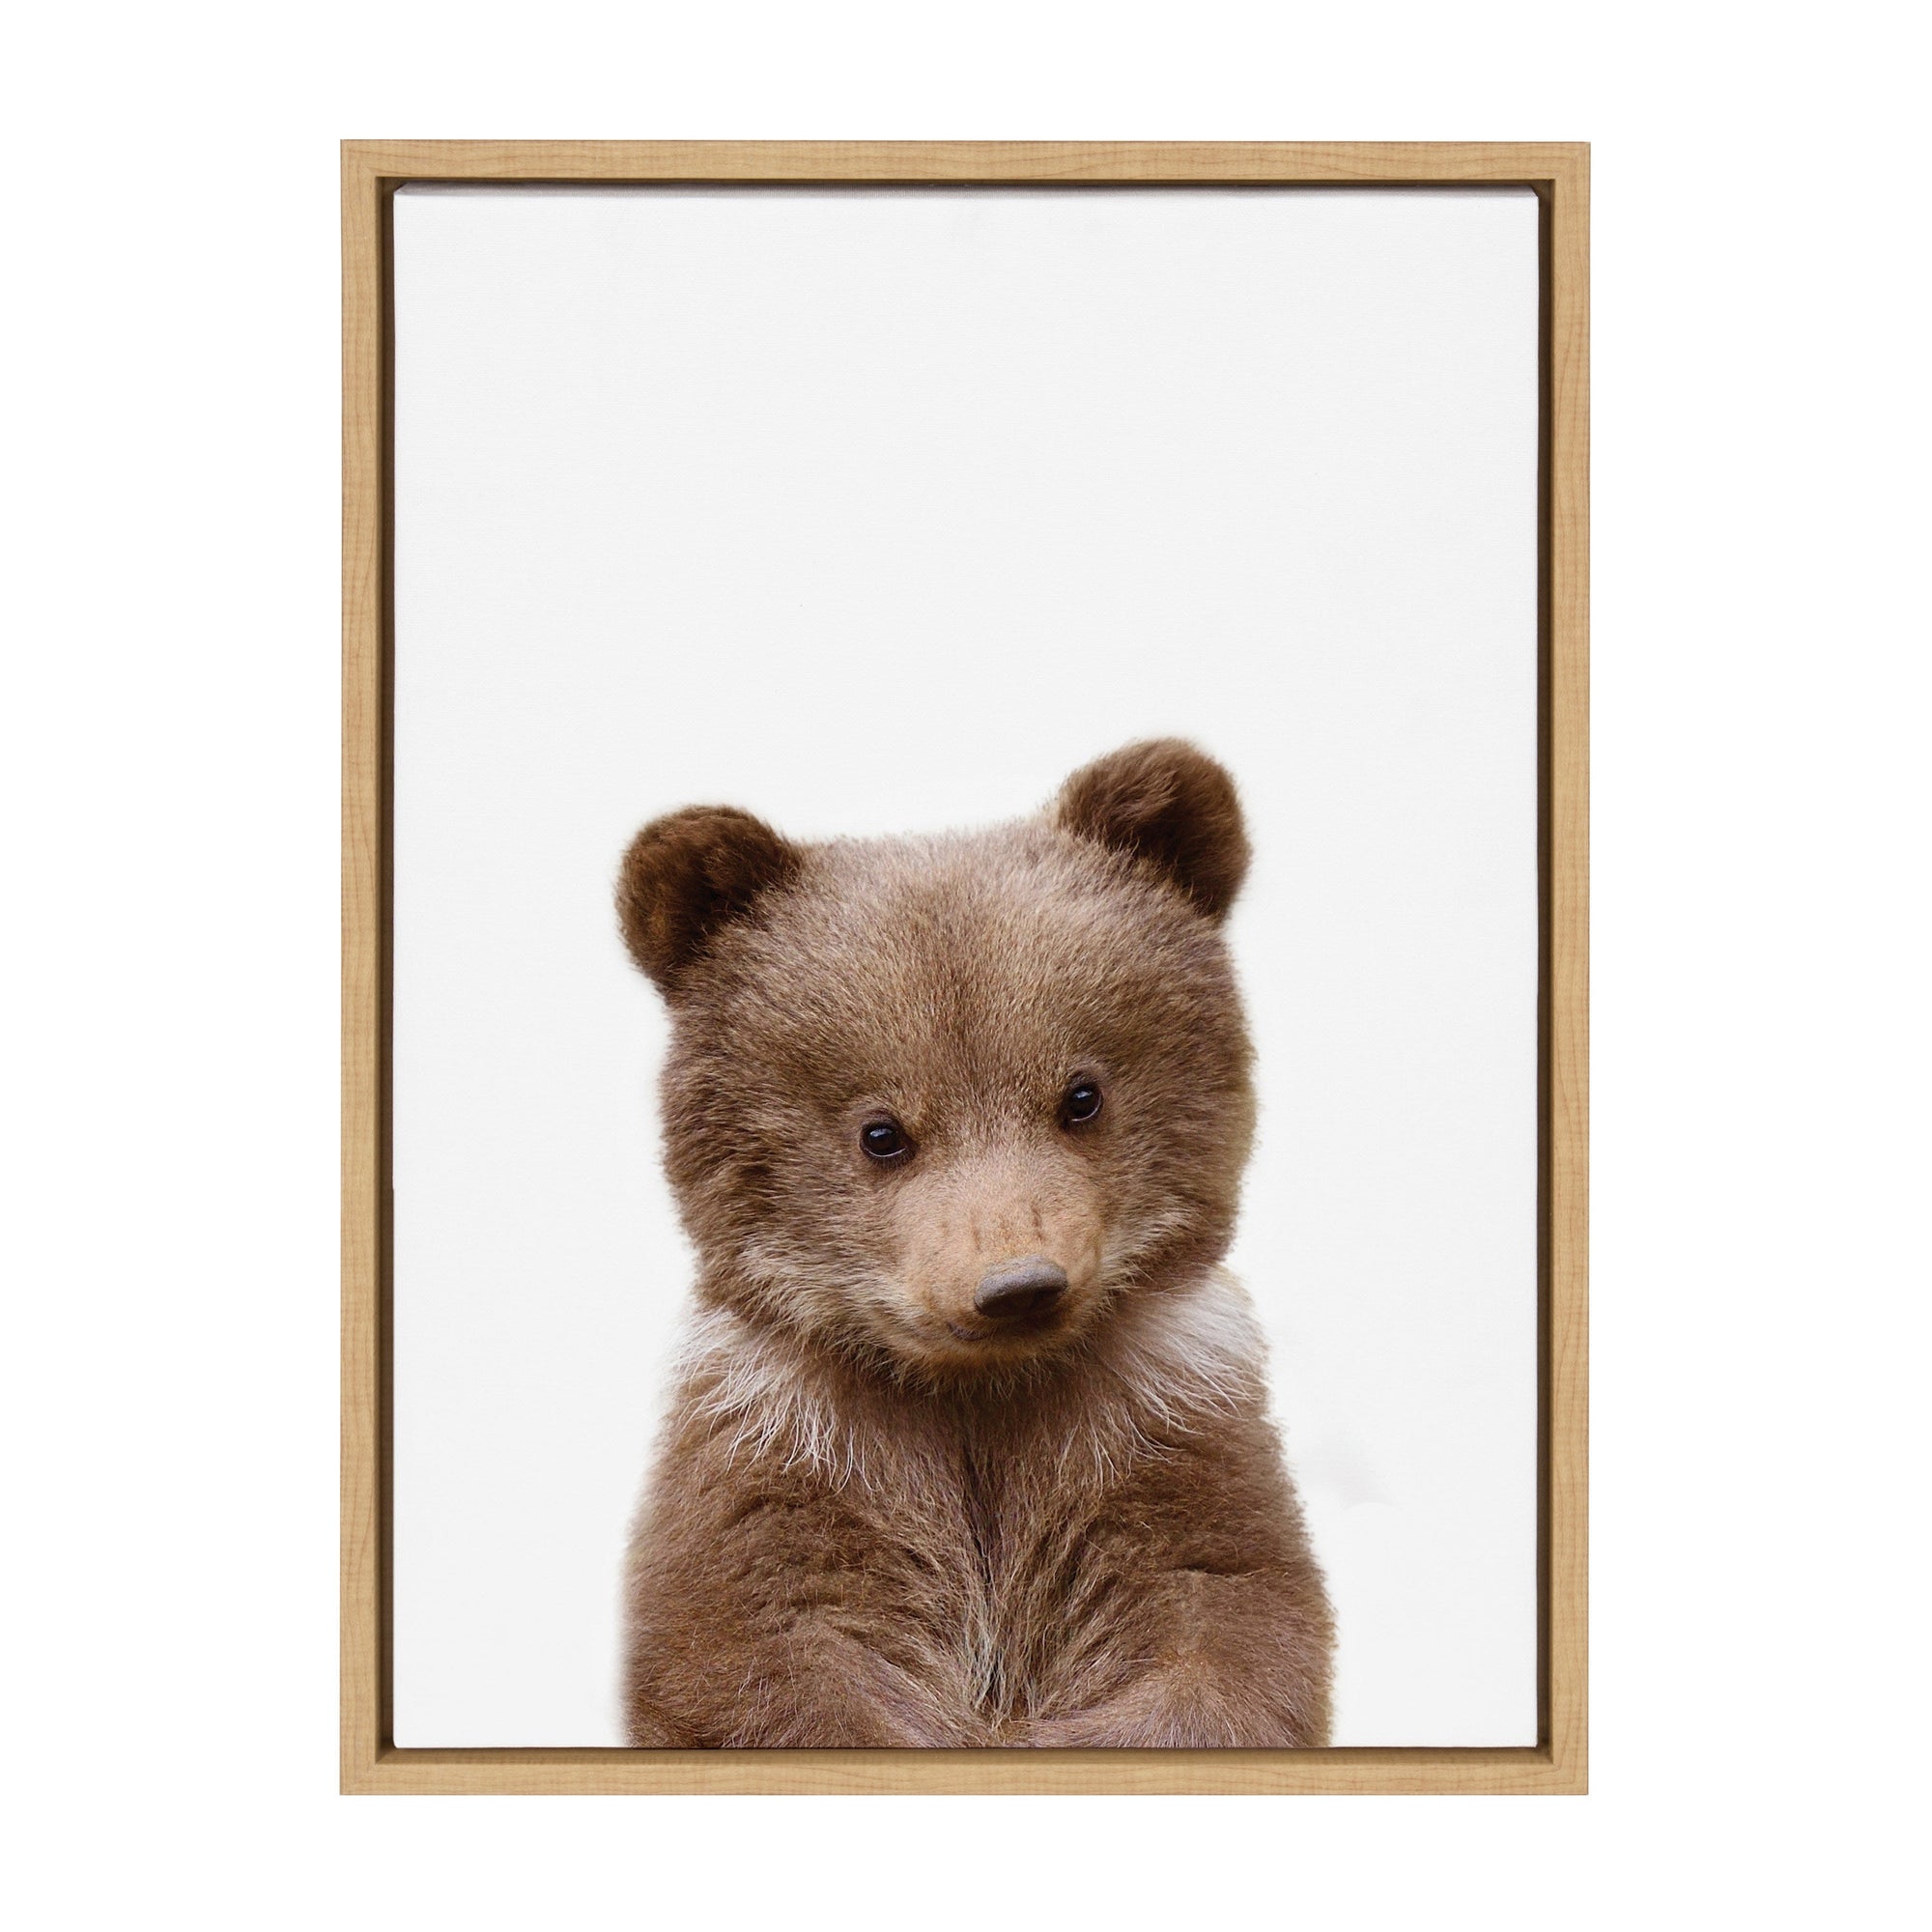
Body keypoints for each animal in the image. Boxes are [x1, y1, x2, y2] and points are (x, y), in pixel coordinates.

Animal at [614, 739, 1333, 1748]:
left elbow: (1222, 1627)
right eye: (881, 1132)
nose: (1018, 1285)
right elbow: (761, 1658)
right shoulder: (791, 1454)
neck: (978, 1397)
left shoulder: (1163, 1433)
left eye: (1083, 1094)